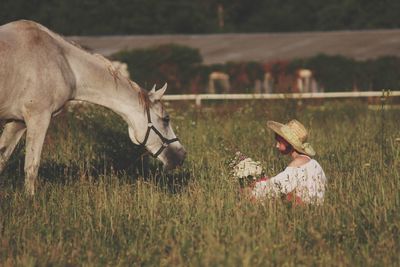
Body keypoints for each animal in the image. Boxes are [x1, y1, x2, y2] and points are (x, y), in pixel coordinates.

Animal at [0, 20, 187, 195]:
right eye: (166, 119)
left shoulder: (17, 122)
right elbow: (31, 167)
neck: (63, 63)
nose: (181, 155)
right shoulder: (38, 118)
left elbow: (2, 159)